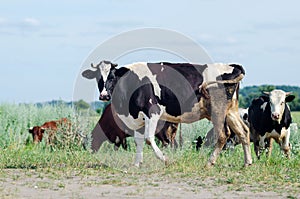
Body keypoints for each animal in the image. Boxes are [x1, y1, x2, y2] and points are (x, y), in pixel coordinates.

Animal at [88, 60, 251, 166]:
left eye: (112, 76)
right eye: (98, 78)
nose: (104, 96)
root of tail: (231, 66)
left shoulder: (152, 112)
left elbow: (148, 139)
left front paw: (165, 159)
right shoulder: (139, 118)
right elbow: (138, 141)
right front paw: (137, 164)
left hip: (218, 111)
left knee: (223, 135)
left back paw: (210, 162)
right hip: (231, 111)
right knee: (243, 131)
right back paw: (247, 162)